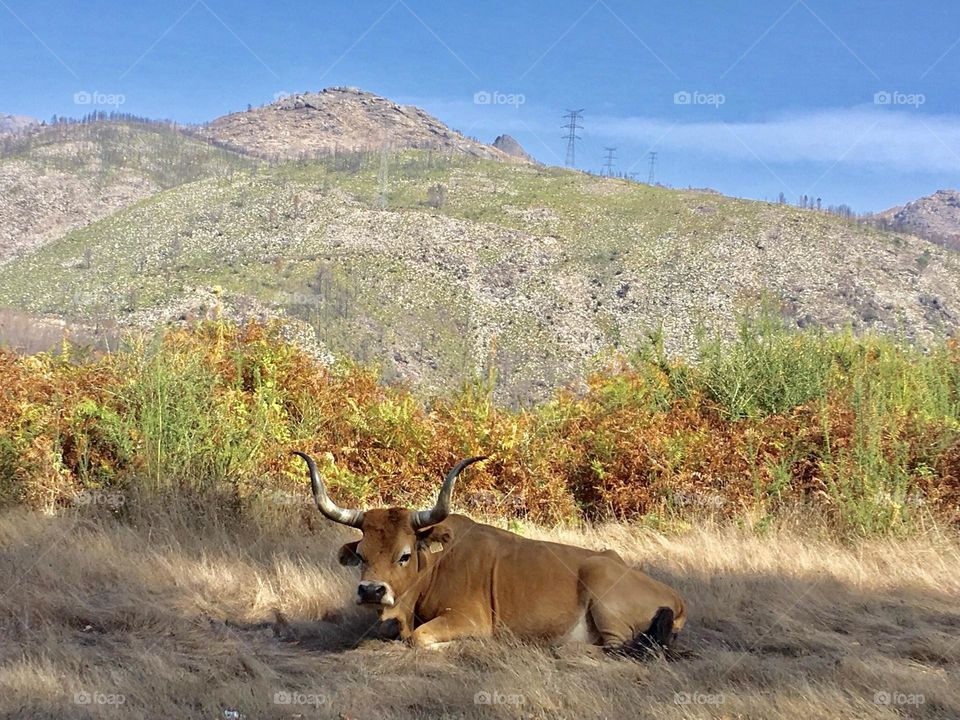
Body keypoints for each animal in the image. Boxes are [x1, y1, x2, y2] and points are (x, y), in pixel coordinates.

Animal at [296, 452, 688, 656]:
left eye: (404, 555)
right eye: (362, 554)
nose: (371, 591)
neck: (436, 563)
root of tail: (675, 597)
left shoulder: (468, 620)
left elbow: (418, 638)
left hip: (600, 581)